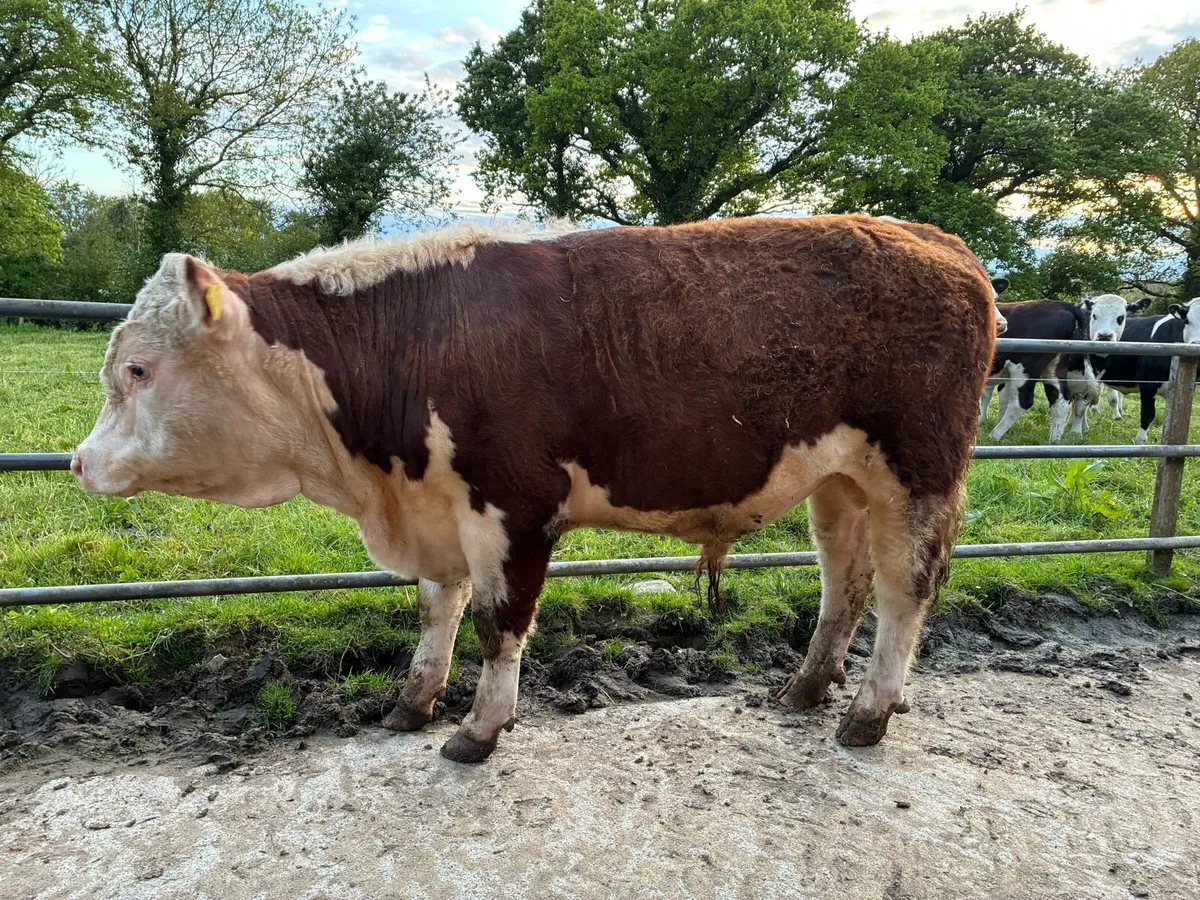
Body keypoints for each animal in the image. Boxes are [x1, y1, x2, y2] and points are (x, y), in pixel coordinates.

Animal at [71, 215, 996, 762]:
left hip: (916, 472)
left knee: (907, 590)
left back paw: (867, 714)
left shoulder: (511, 504)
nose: (77, 463)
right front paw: (413, 703)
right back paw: (804, 690)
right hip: (836, 480)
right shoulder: (440, 506)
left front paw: (480, 729)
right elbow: (436, 608)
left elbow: (496, 621)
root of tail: (933, 239)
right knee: (846, 581)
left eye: (138, 369)